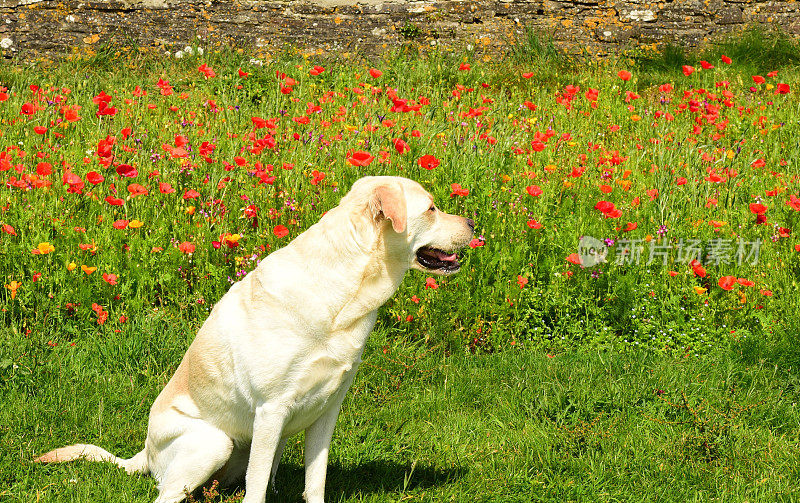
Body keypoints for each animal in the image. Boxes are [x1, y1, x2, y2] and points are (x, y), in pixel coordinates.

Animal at [36, 176, 476, 503]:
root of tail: (144, 453)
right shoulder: (272, 410)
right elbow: (259, 490)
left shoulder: (327, 411)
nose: (473, 224)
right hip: (213, 443)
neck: (346, 288)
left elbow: (315, 482)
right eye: (432, 208)